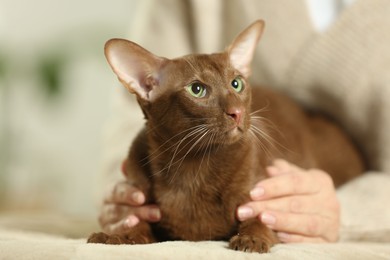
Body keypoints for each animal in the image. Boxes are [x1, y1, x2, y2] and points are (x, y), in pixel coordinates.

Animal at [87, 20, 364, 254]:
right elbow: (138, 225)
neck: (192, 166)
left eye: (236, 84)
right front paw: (116, 236)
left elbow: (260, 219)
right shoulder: (139, 194)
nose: (237, 112)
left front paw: (252, 239)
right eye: (197, 89)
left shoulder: (263, 194)